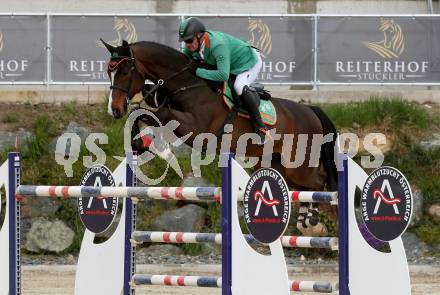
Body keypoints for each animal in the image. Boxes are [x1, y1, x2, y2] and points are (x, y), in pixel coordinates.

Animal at [102, 40, 336, 237]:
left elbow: (152, 112)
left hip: (297, 164)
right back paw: (305, 221)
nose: (114, 110)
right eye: (108, 72)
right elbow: (142, 114)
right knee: (303, 188)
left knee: (319, 180)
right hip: (278, 165)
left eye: (125, 71)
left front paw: (143, 142)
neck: (187, 84)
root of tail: (311, 111)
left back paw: (312, 220)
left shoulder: (195, 128)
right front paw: (139, 143)